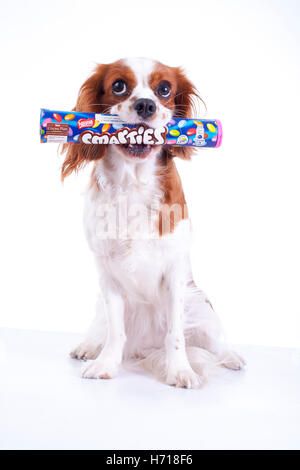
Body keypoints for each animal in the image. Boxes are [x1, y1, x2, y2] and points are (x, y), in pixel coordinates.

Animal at [63, 57, 244, 388]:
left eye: (164, 89)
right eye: (118, 85)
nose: (146, 105)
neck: (133, 182)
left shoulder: (175, 272)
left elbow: (175, 335)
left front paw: (180, 371)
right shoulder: (107, 274)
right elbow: (115, 331)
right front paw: (105, 363)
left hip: (199, 302)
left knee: (215, 340)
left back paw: (232, 357)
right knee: (102, 328)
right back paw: (88, 346)